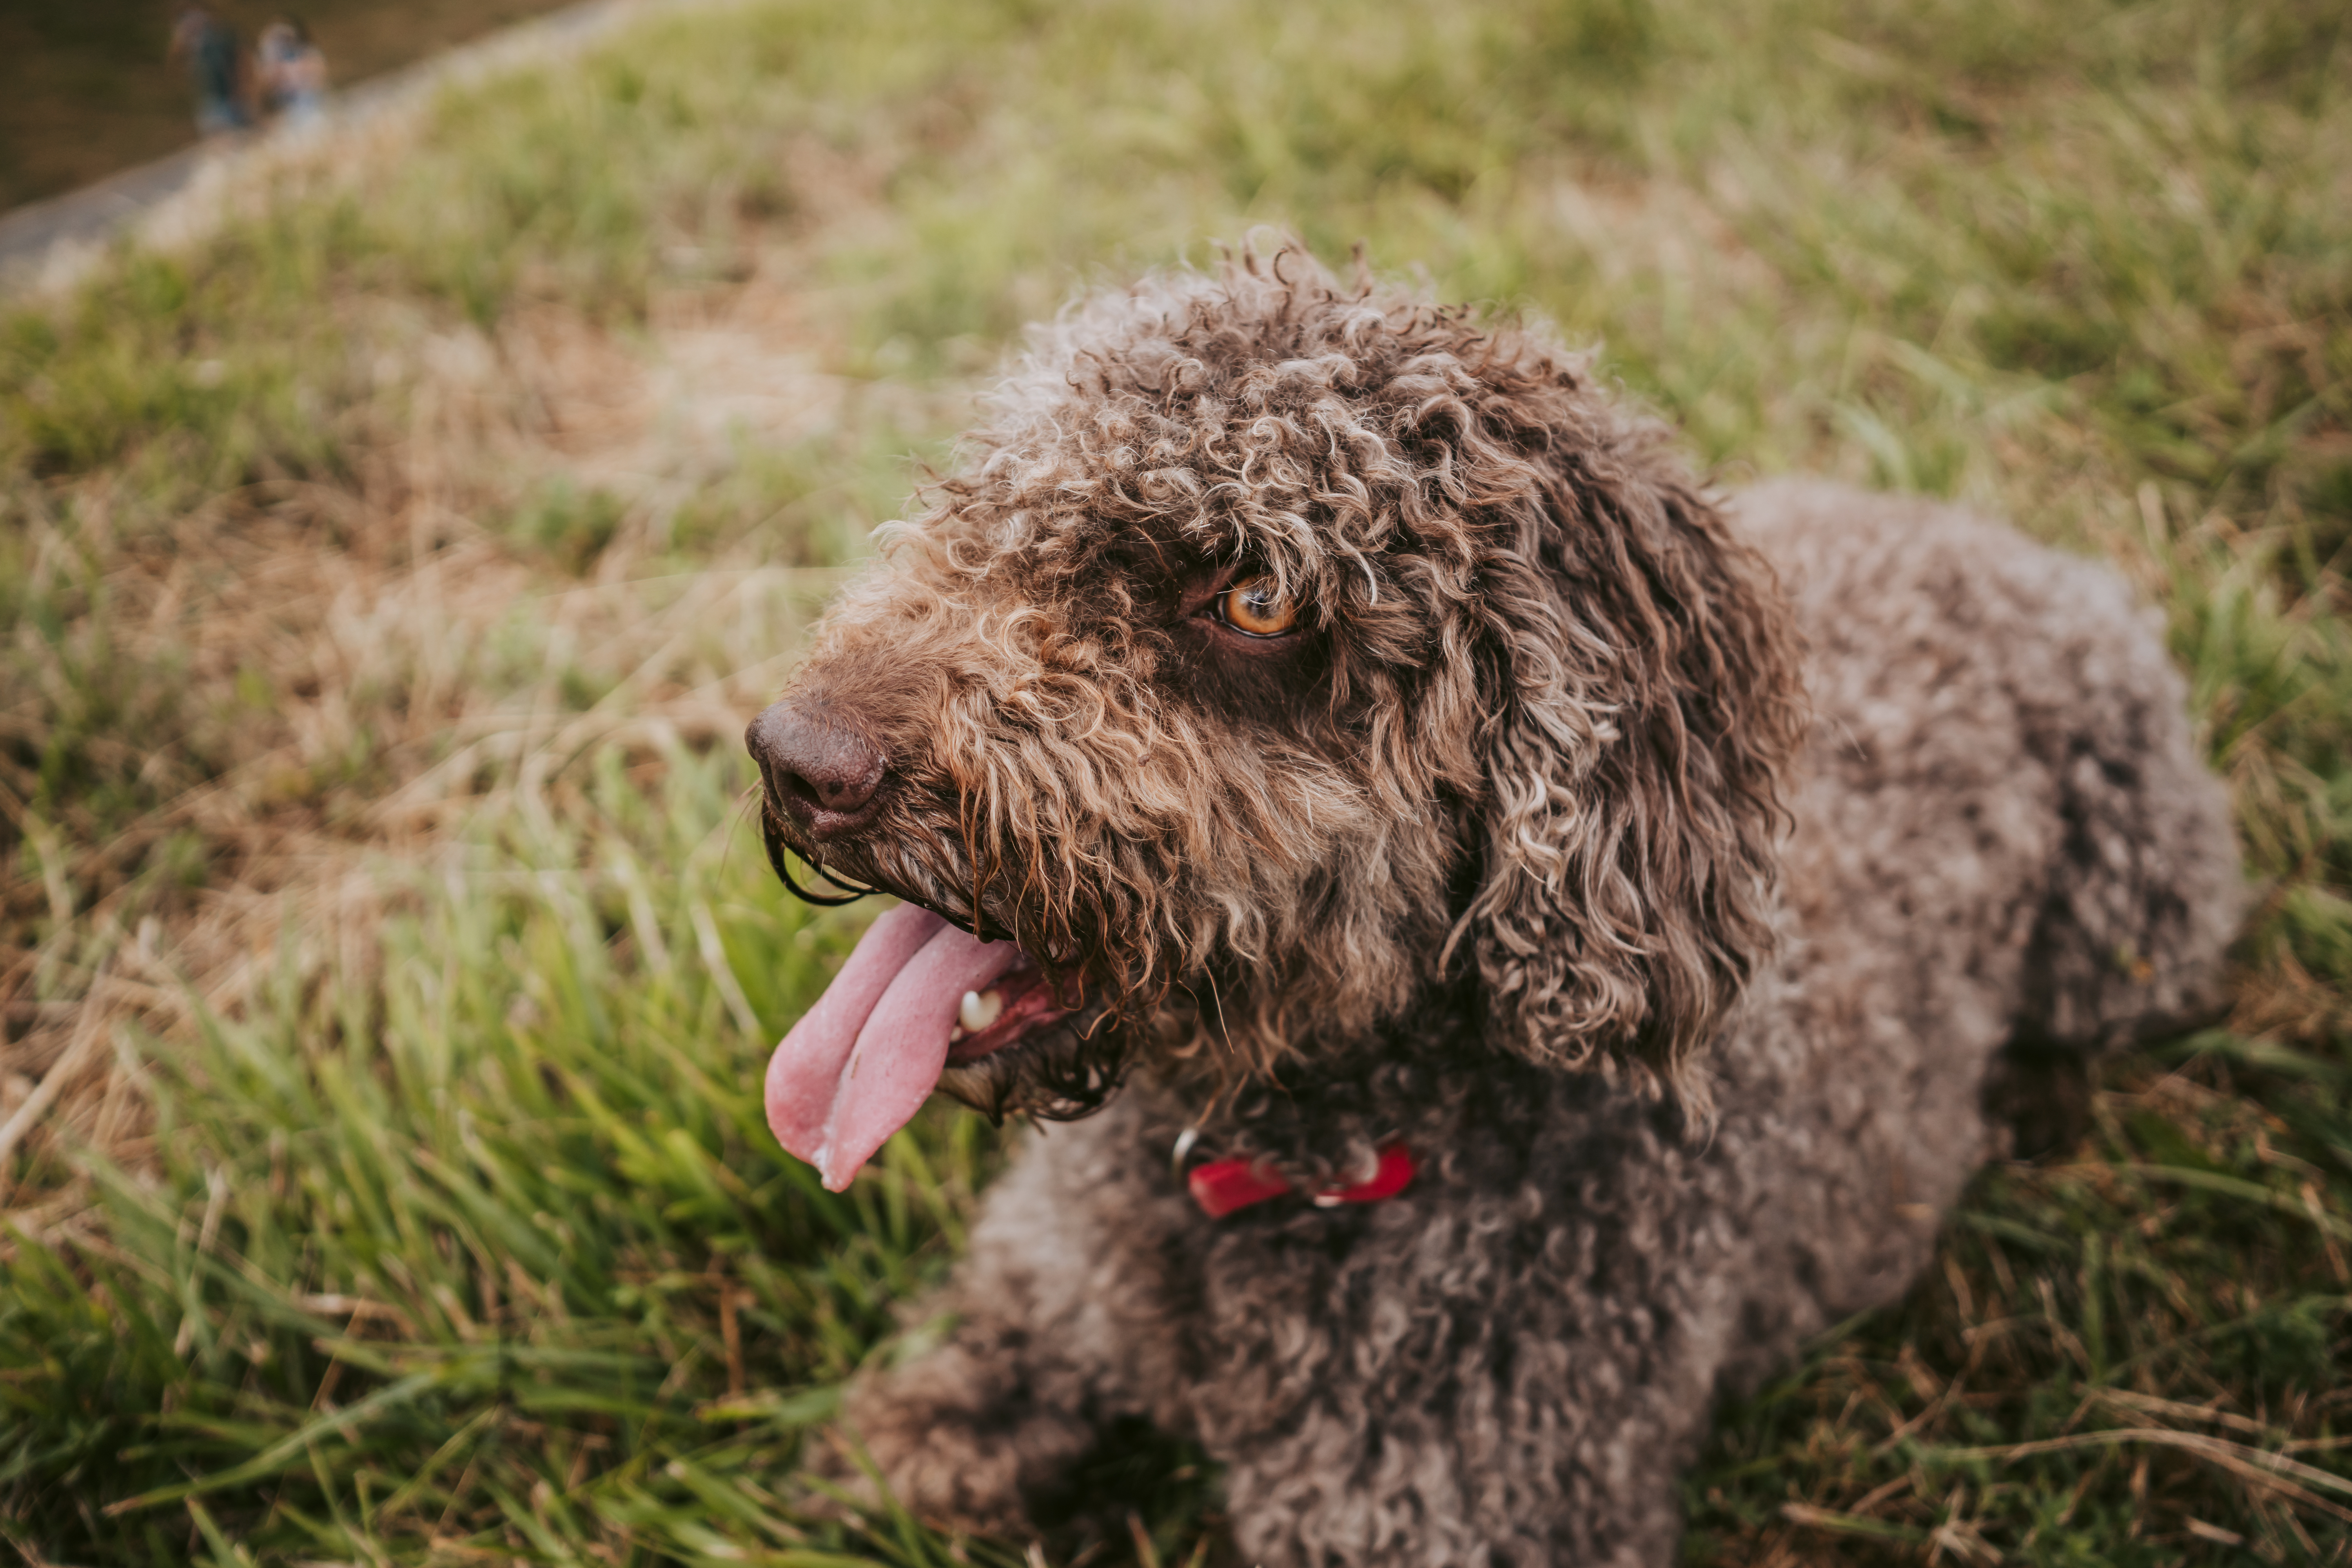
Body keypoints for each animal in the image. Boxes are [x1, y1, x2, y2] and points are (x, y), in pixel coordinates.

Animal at [743, 251, 2230, 1561]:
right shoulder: (1042, 1295)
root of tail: (1993, 537)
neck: (1291, 1154)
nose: (796, 758)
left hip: (2141, 917)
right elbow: (924, 1418)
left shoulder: (1466, 1512)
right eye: (992, 505)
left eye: (1257, 592)